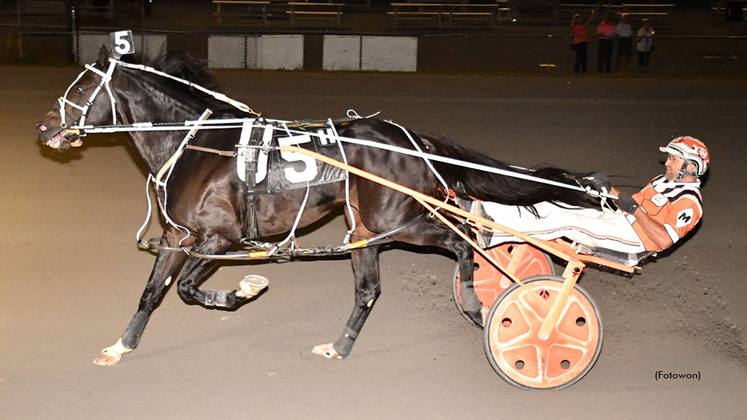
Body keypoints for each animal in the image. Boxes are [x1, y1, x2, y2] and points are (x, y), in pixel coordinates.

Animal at [35, 47, 600, 366]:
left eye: (81, 87)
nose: (43, 127)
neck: (196, 144)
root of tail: (411, 138)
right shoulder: (178, 236)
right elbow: (153, 294)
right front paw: (120, 347)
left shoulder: (219, 238)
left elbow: (192, 290)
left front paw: (246, 287)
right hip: (364, 228)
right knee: (370, 289)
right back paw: (341, 346)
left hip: (398, 219)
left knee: (462, 241)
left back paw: (477, 301)